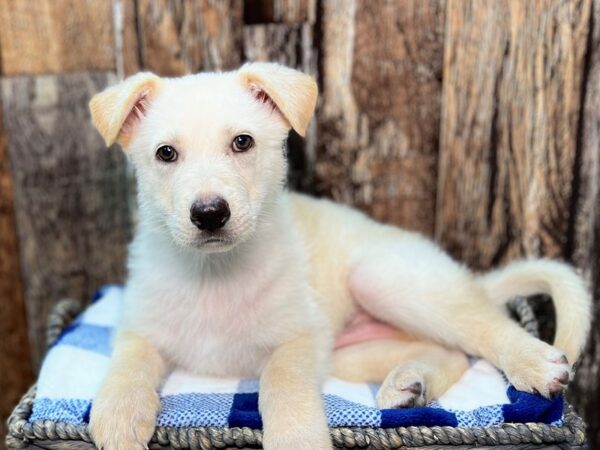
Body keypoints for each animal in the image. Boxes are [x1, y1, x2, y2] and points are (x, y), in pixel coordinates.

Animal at [88, 63, 592, 450]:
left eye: (243, 142)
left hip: (383, 280)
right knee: (450, 350)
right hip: (356, 352)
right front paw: (117, 417)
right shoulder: (140, 326)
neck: (214, 273)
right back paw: (410, 385)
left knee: (484, 325)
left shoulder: (300, 337)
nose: (210, 214)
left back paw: (533, 362)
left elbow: (282, 384)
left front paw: (296, 439)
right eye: (165, 153)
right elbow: (128, 364)